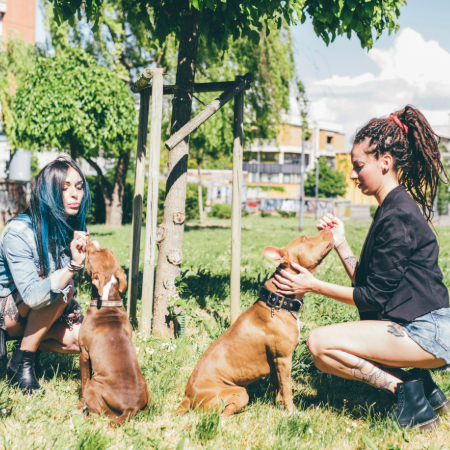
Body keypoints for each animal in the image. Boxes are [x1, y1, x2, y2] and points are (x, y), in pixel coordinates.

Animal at [79, 239, 151, 426]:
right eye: (106, 250)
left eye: (91, 255)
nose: (91, 240)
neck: (107, 301)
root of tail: (131, 407)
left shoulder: (83, 353)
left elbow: (83, 380)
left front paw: (80, 402)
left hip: (94, 387)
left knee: (97, 413)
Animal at [176, 230, 334, 416]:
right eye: (305, 238)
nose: (329, 228)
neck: (277, 302)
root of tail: (187, 396)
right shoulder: (284, 359)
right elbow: (287, 388)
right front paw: (291, 412)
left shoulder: (276, 362)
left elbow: (276, 385)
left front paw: (275, 403)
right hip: (240, 392)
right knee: (223, 414)